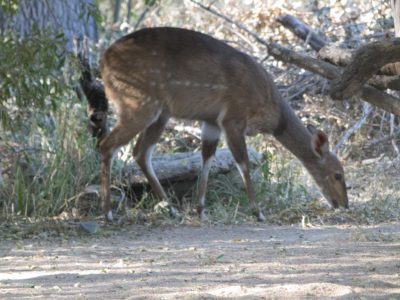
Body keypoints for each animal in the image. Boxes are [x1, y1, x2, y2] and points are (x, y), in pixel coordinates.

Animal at [99, 27, 346, 221]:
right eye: (337, 174)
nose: (344, 204)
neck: (272, 110)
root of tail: (103, 61)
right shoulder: (233, 118)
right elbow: (242, 162)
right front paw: (258, 212)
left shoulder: (211, 121)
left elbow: (207, 157)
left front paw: (200, 209)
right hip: (138, 104)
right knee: (108, 145)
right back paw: (108, 212)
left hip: (161, 113)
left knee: (140, 152)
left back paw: (171, 210)